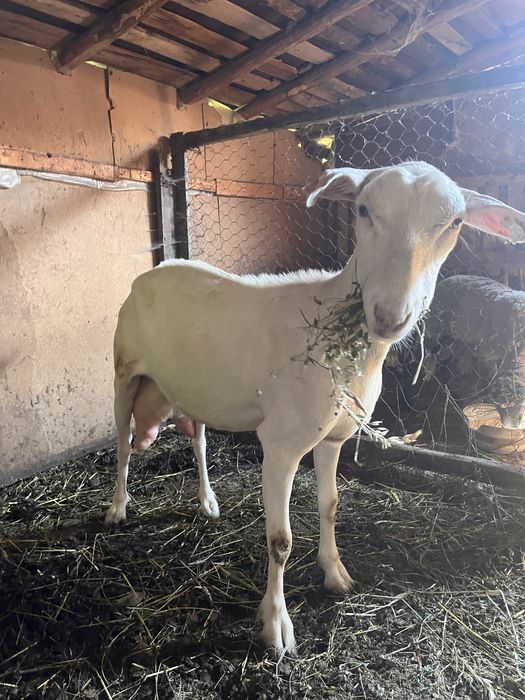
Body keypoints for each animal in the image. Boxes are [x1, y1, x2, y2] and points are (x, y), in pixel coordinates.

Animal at [105, 161, 525, 655]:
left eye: (455, 223)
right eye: (362, 210)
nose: (389, 316)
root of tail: (155, 268)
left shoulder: (334, 436)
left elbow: (331, 504)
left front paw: (335, 572)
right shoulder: (281, 444)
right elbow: (280, 541)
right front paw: (277, 626)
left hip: (195, 386)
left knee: (200, 442)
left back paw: (208, 501)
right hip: (123, 369)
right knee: (123, 444)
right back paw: (117, 507)